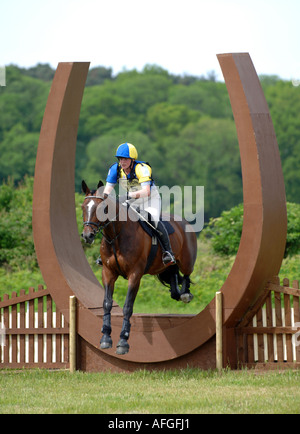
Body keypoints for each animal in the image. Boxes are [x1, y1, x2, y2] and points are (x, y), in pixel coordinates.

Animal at [80, 181, 197, 354]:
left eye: (103, 209)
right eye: (83, 207)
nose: (88, 236)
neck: (117, 235)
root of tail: (184, 222)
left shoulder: (135, 274)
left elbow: (128, 306)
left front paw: (123, 341)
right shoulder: (108, 272)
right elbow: (107, 303)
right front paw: (106, 338)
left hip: (186, 261)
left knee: (187, 275)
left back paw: (185, 294)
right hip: (167, 266)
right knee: (174, 275)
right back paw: (178, 292)